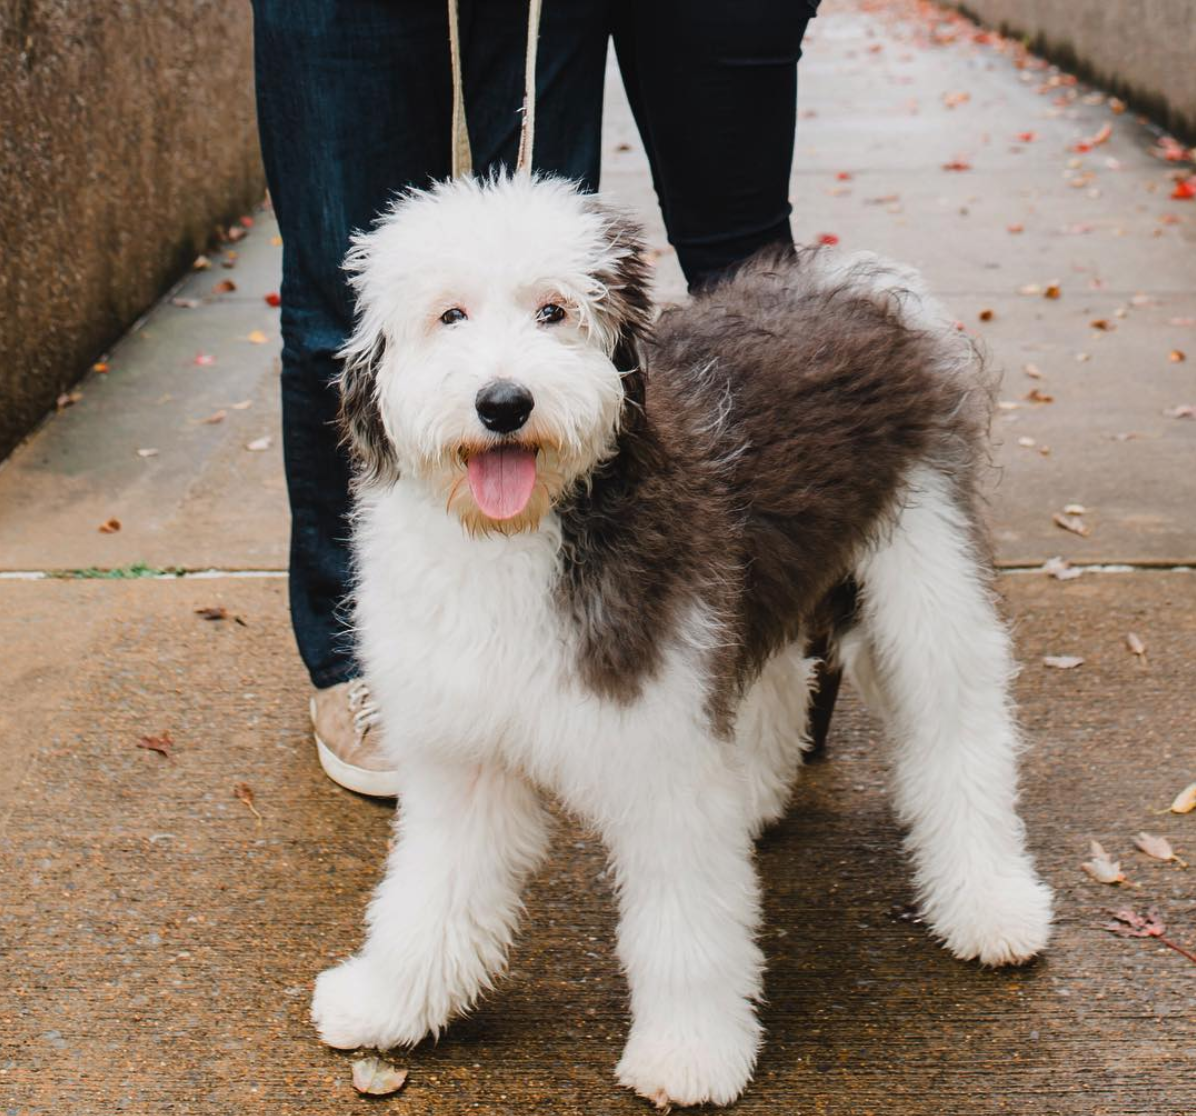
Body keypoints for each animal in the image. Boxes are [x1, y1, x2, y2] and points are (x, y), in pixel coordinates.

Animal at [313, 174, 1052, 1105]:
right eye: (450, 315)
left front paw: (690, 1054)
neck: (523, 535)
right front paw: (390, 1003)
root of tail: (860, 282)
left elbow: (685, 926)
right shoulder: (465, 756)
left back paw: (993, 904)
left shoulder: (661, 753)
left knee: (961, 730)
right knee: (773, 672)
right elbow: (429, 895)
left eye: (554, 310)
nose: (504, 402)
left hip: (925, 568)